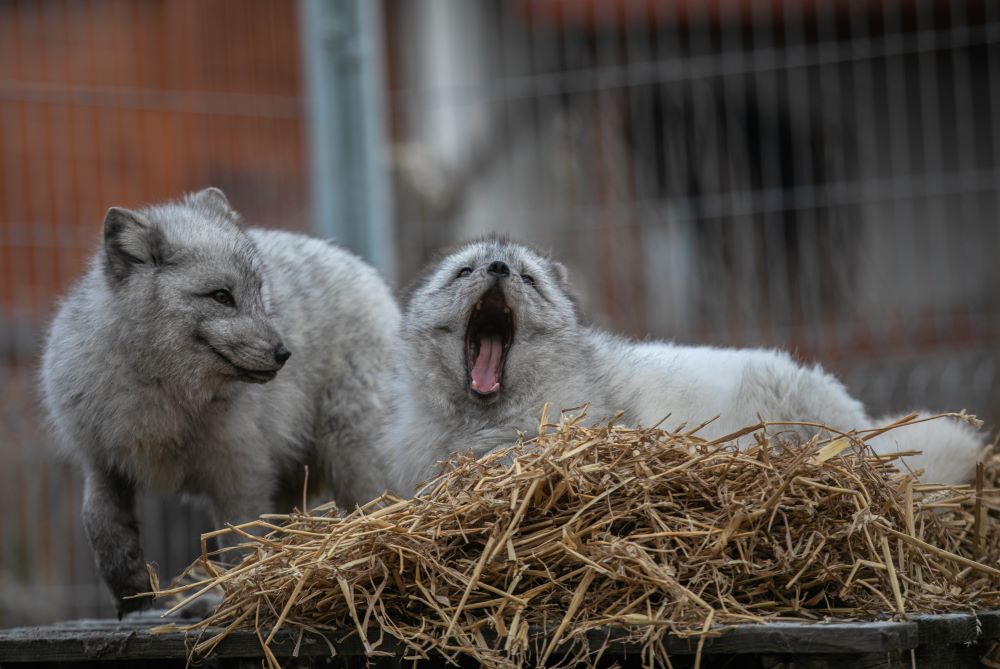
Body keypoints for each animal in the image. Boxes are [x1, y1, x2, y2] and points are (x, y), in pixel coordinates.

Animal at [40, 187, 398, 612]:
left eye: (260, 293)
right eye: (221, 296)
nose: (283, 354)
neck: (164, 392)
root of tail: (364, 270)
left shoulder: (240, 474)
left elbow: (239, 544)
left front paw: (240, 597)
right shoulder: (101, 458)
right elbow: (97, 518)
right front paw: (128, 586)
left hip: (353, 461)